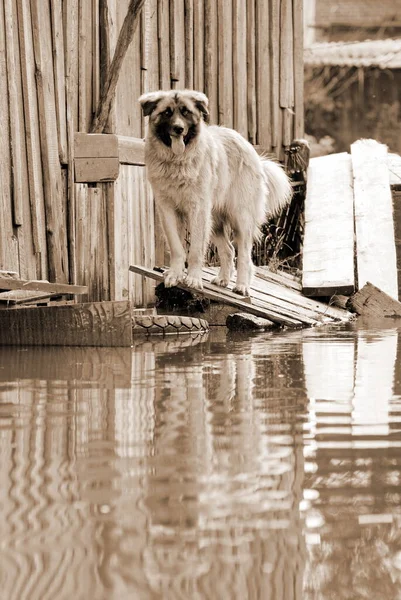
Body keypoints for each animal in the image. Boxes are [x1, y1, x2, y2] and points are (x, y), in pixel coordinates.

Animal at [138, 89, 290, 296]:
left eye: (186, 112)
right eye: (167, 113)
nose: (178, 129)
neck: (176, 163)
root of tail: (251, 149)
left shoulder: (198, 210)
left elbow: (195, 250)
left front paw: (193, 279)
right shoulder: (167, 210)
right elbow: (177, 247)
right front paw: (175, 274)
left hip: (240, 217)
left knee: (244, 254)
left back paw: (242, 286)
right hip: (215, 219)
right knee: (228, 250)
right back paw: (223, 279)